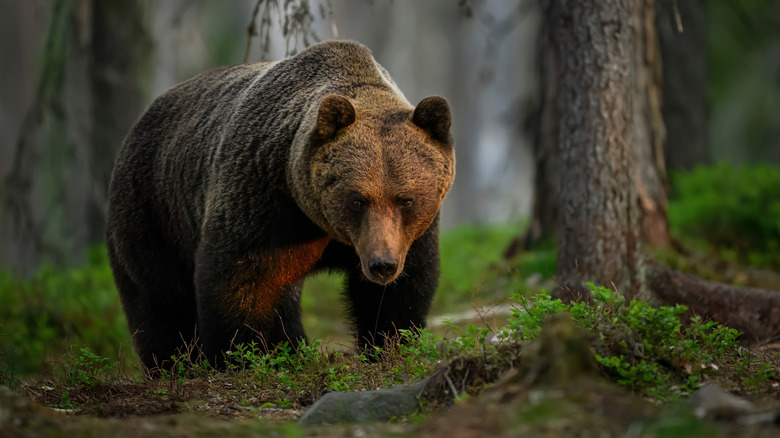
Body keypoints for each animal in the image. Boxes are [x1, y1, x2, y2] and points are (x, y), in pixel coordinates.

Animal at [106, 40, 455, 372]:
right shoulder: (263, 200)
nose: (382, 264)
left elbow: (399, 291)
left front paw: (389, 345)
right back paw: (173, 364)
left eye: (406, 199)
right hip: (152, 211)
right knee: (161, 300)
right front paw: (241, 357)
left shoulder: (411, 234)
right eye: (357, 199)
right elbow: (241, 280)